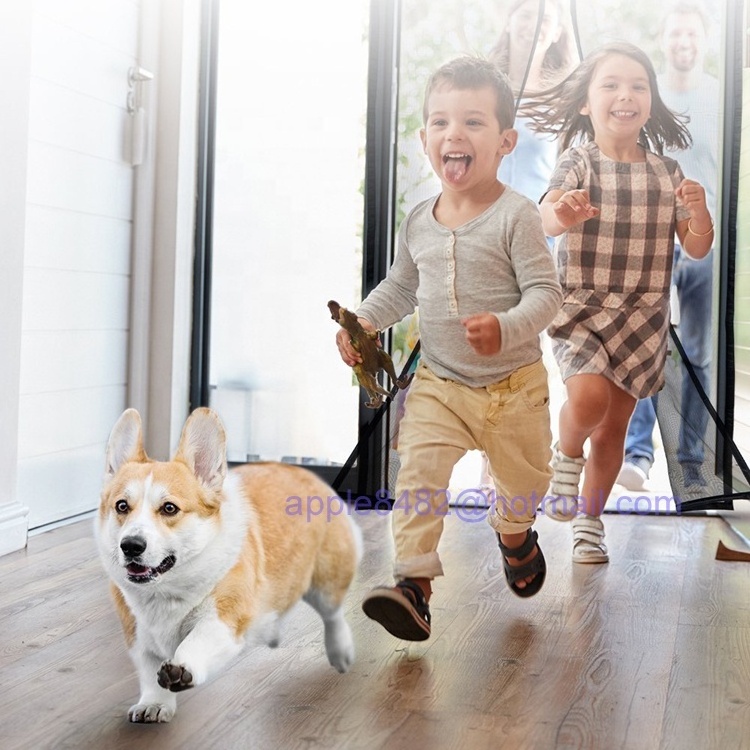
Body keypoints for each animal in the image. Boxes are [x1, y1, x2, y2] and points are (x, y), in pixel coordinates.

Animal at [97, 408, 364, 724]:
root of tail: (305, 472)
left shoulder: (224, 617)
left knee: (333, 614)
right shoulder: (138, 636)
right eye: (122, 506)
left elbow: (197, 640)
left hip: (326, 579)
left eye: (169, 508)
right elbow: (150, 673)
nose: (131, 546)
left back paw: (340, 652)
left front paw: (183, 667)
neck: (167, 590)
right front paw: (154, 703)